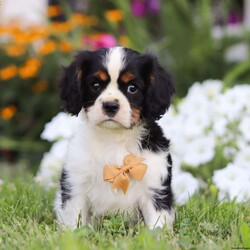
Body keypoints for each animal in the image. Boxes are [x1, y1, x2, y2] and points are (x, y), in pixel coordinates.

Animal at [55, 47, 175, 230]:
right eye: (95, 85)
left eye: (132, 88)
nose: (110, 106)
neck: (115, 138)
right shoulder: (76, 184)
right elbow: (74, 221)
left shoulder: (154, 187)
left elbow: (156, 224)